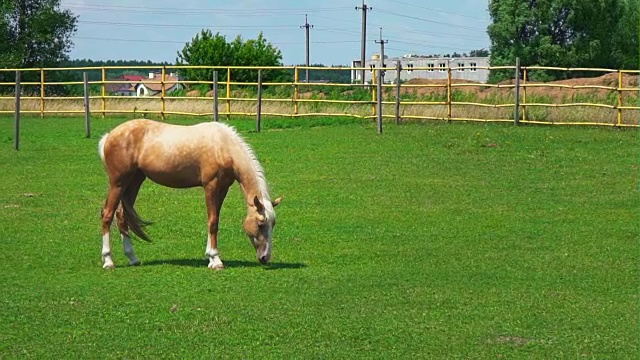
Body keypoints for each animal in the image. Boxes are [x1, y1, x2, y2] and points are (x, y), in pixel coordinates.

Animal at [98, 119, 282, 270]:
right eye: (260, 224)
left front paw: (210, 257)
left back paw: (133, 258)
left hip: (134, 181)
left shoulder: (223, 188)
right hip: (118, 184)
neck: (223, 146)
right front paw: (216, 260)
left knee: (121, 217)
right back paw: (108, 261)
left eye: (272, 224)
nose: (265, 258)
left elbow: (214, 220)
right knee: (107, 215)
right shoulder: (211, 186)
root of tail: (109, 136)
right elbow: (213, 222)